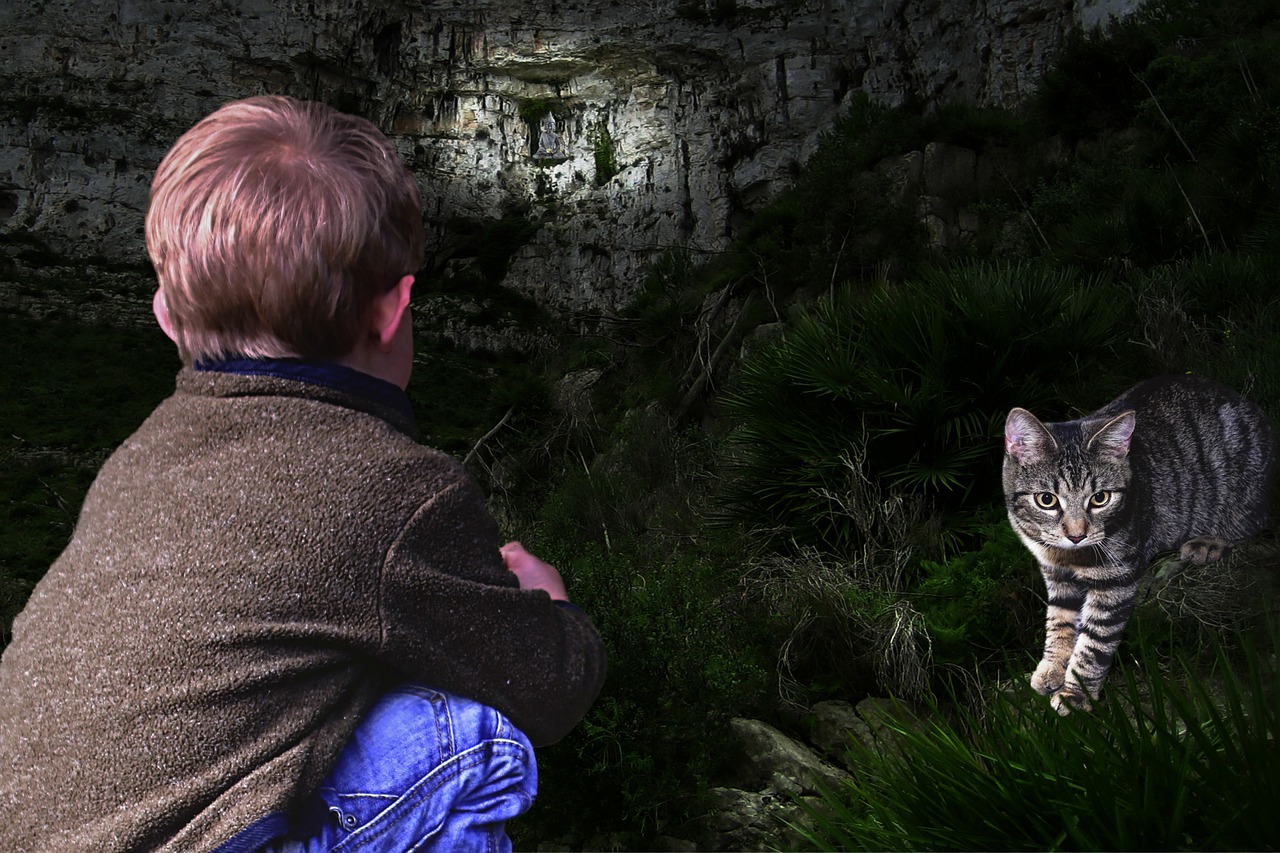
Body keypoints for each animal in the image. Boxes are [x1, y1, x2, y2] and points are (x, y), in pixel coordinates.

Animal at [1003, 371, 1274, 712]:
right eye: (1047, 500)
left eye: (1100, 498)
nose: (1076, 535)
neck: (1068, 557)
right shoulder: (1055, 574)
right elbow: (1060, 621)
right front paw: (1051, 666)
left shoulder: (1115, 578)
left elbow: (1094, 642)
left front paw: (1076, 691)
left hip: (1242, 491)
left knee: (1254, 521)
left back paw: (1209, 541)